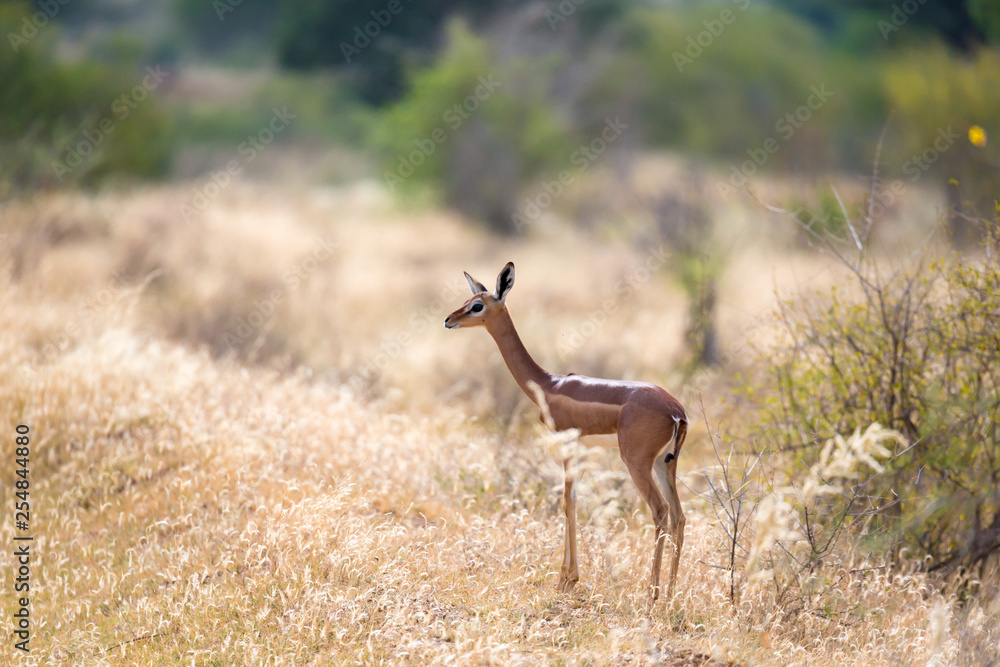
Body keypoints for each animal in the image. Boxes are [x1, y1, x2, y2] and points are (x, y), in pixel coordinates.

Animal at [444, 262, 688, 600]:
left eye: (477, 306)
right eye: (468, 300)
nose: (448, 320)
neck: (550, 384)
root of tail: (676, 411)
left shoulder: (567, 442)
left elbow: (566, 502)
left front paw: (565, 579)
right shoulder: (580, 447)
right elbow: (573, 500)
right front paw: (570, 577)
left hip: (637, 463)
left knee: (661, 512)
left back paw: (651, 594)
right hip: (665, 464)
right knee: (679, 515)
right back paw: (670, 594)